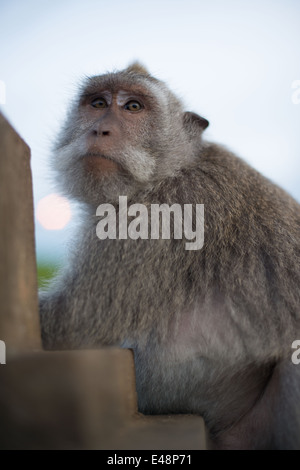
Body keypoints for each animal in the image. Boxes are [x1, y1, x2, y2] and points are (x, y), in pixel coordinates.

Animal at [39, 61, 300, 448]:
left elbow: (73, 322)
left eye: (133, 107)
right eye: (98, 103)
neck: (170, 172)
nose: (99, 129)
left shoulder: (154, 221)